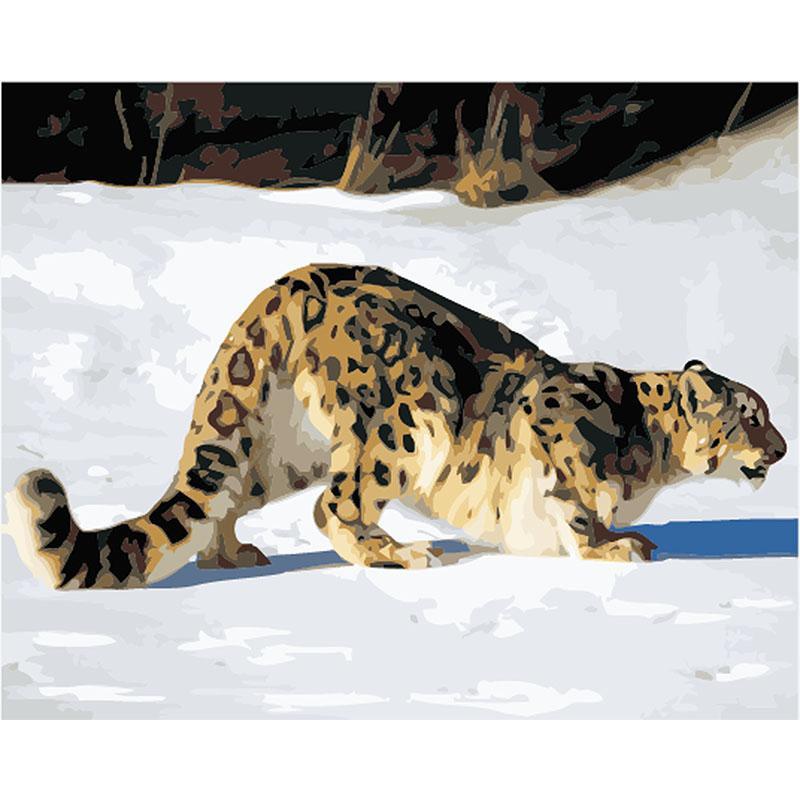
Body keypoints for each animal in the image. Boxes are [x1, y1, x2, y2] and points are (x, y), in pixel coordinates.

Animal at [4, 263, 787, 589]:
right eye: (751, 415)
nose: (782, 449)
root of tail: (286, 285)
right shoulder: (557, 426)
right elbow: (576, 503)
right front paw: (615, 546)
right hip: (411, 415)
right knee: (337, 504)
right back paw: (399, 553)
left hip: (283, 450)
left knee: (225, 493)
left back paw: (234, 556)